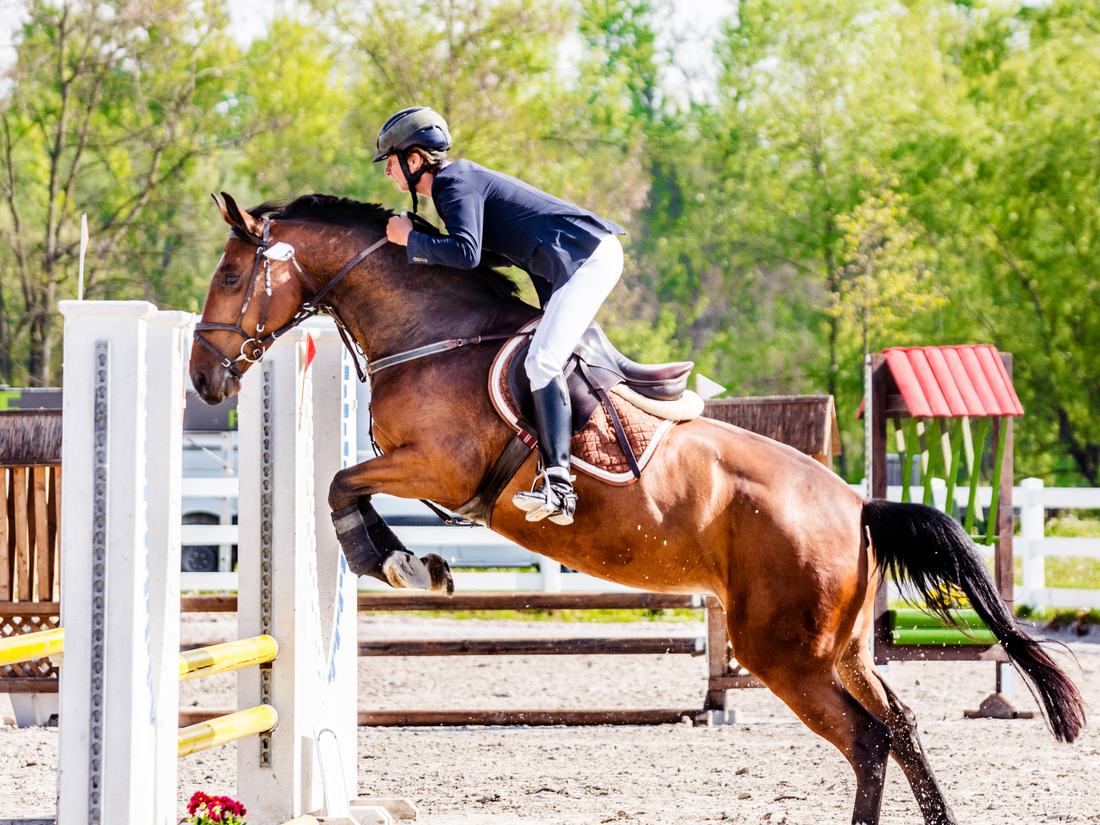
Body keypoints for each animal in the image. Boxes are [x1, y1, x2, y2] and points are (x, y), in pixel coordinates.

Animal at [187, 195, 1082, 825]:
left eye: (230, 276)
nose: (202, 378)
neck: (432, 332)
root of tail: (859, 504)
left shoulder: (437, 466)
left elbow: (342, 484)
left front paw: (399, 561)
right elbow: (347, 483)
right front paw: (413, 561)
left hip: (785, 653)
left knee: (867, 740)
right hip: (842, 648)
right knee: (900, 726)